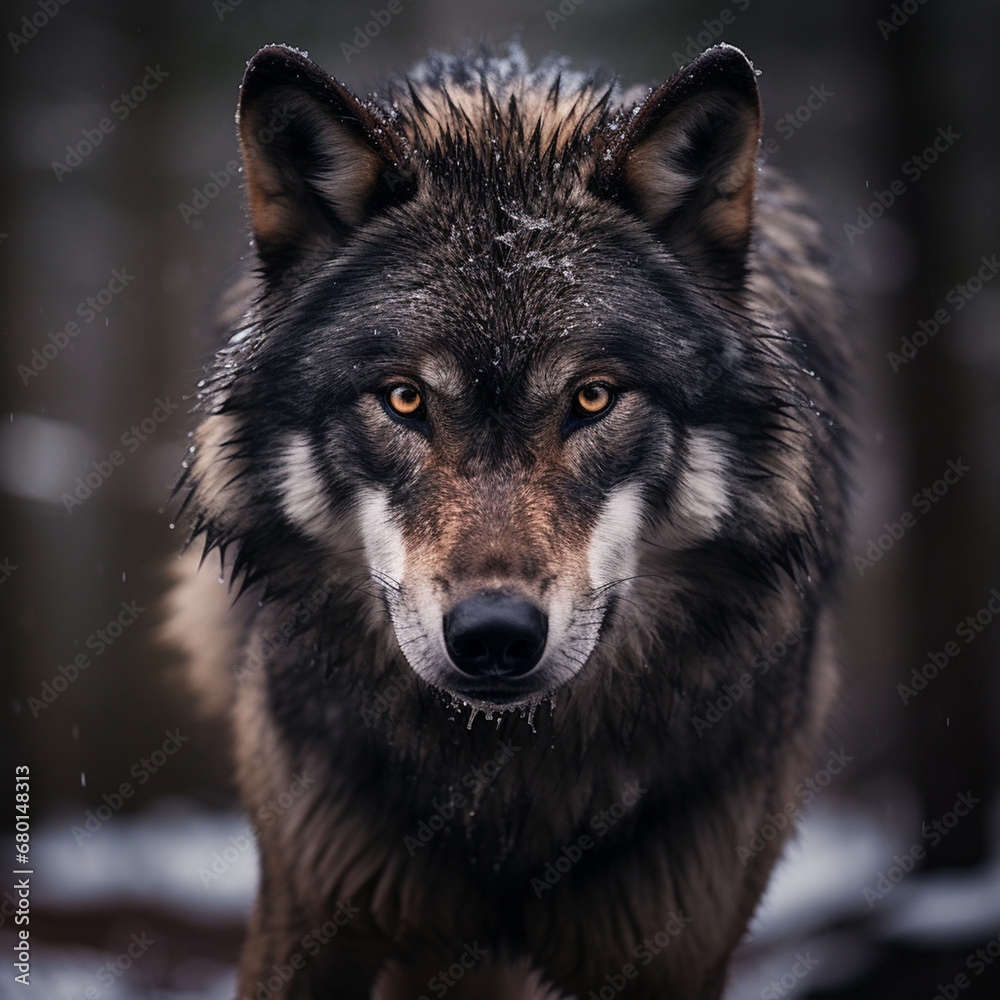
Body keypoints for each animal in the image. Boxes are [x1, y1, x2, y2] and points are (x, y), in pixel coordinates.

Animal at [166, 39, 851, 1000]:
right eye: (404, 399)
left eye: (593, 398)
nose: (494, 636)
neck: (514, 784)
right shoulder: (311, 908)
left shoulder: (678, 943)